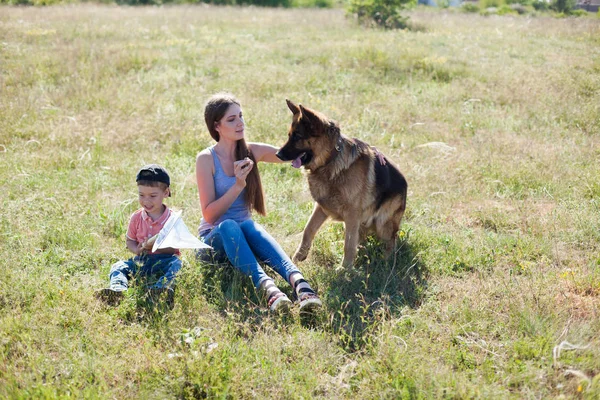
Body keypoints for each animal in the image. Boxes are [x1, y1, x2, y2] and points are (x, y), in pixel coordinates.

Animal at [276, 100, 408, 268]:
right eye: (289, 135)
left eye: (297, 137)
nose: (277, 154)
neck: (330, 160)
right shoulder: (321, 208)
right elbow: (308, 229)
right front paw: (298, 257)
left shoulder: (352, 214)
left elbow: (348, 244)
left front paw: (345, 268)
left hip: (382, 223)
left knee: (391, 241)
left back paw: (386, 261)